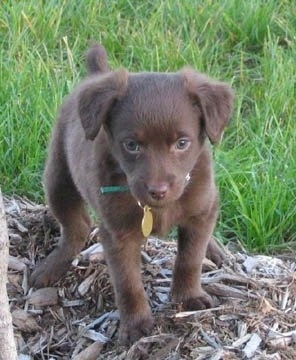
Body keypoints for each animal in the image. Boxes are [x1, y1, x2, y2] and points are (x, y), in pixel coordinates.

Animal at [31, 43, 234, 344]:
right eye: (132, 145)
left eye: (182, 143)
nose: (158, 190)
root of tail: (97, 74)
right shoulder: (118, 233)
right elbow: (128, 283)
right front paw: (136, 325)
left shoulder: (200, 209)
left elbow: (190, 258)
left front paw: (189, 296)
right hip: (58, 177)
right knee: (76, 227)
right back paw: (52, 265)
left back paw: (216, 250)